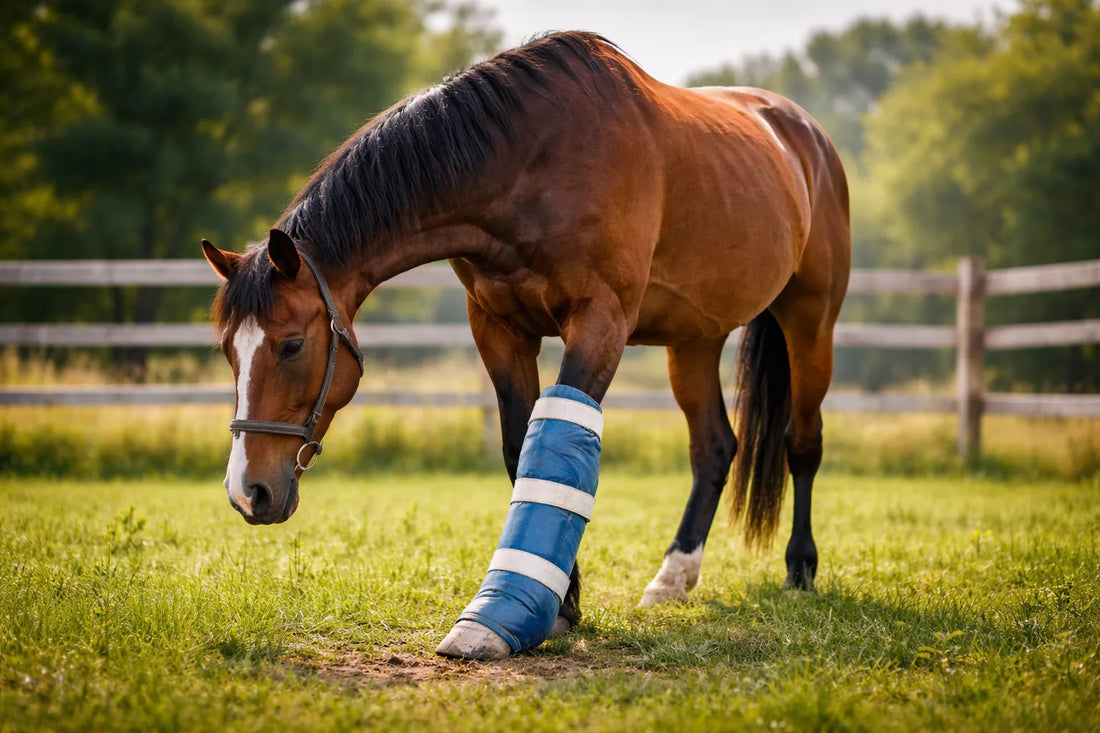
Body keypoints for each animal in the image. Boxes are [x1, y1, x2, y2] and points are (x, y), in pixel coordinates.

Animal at [202, 31, 850, 660]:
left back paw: (799, 571)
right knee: (714, 447)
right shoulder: (498, 328)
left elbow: (556, 442)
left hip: (810, 320)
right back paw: (673, 577)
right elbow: (522, 452)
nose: (247, 492)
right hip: (695, 336)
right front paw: (562, 603)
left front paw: (505, 619)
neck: (531, 161)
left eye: (290, 345)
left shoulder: (600, 321)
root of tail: (805, 134)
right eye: (229, 352)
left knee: (802, 442)